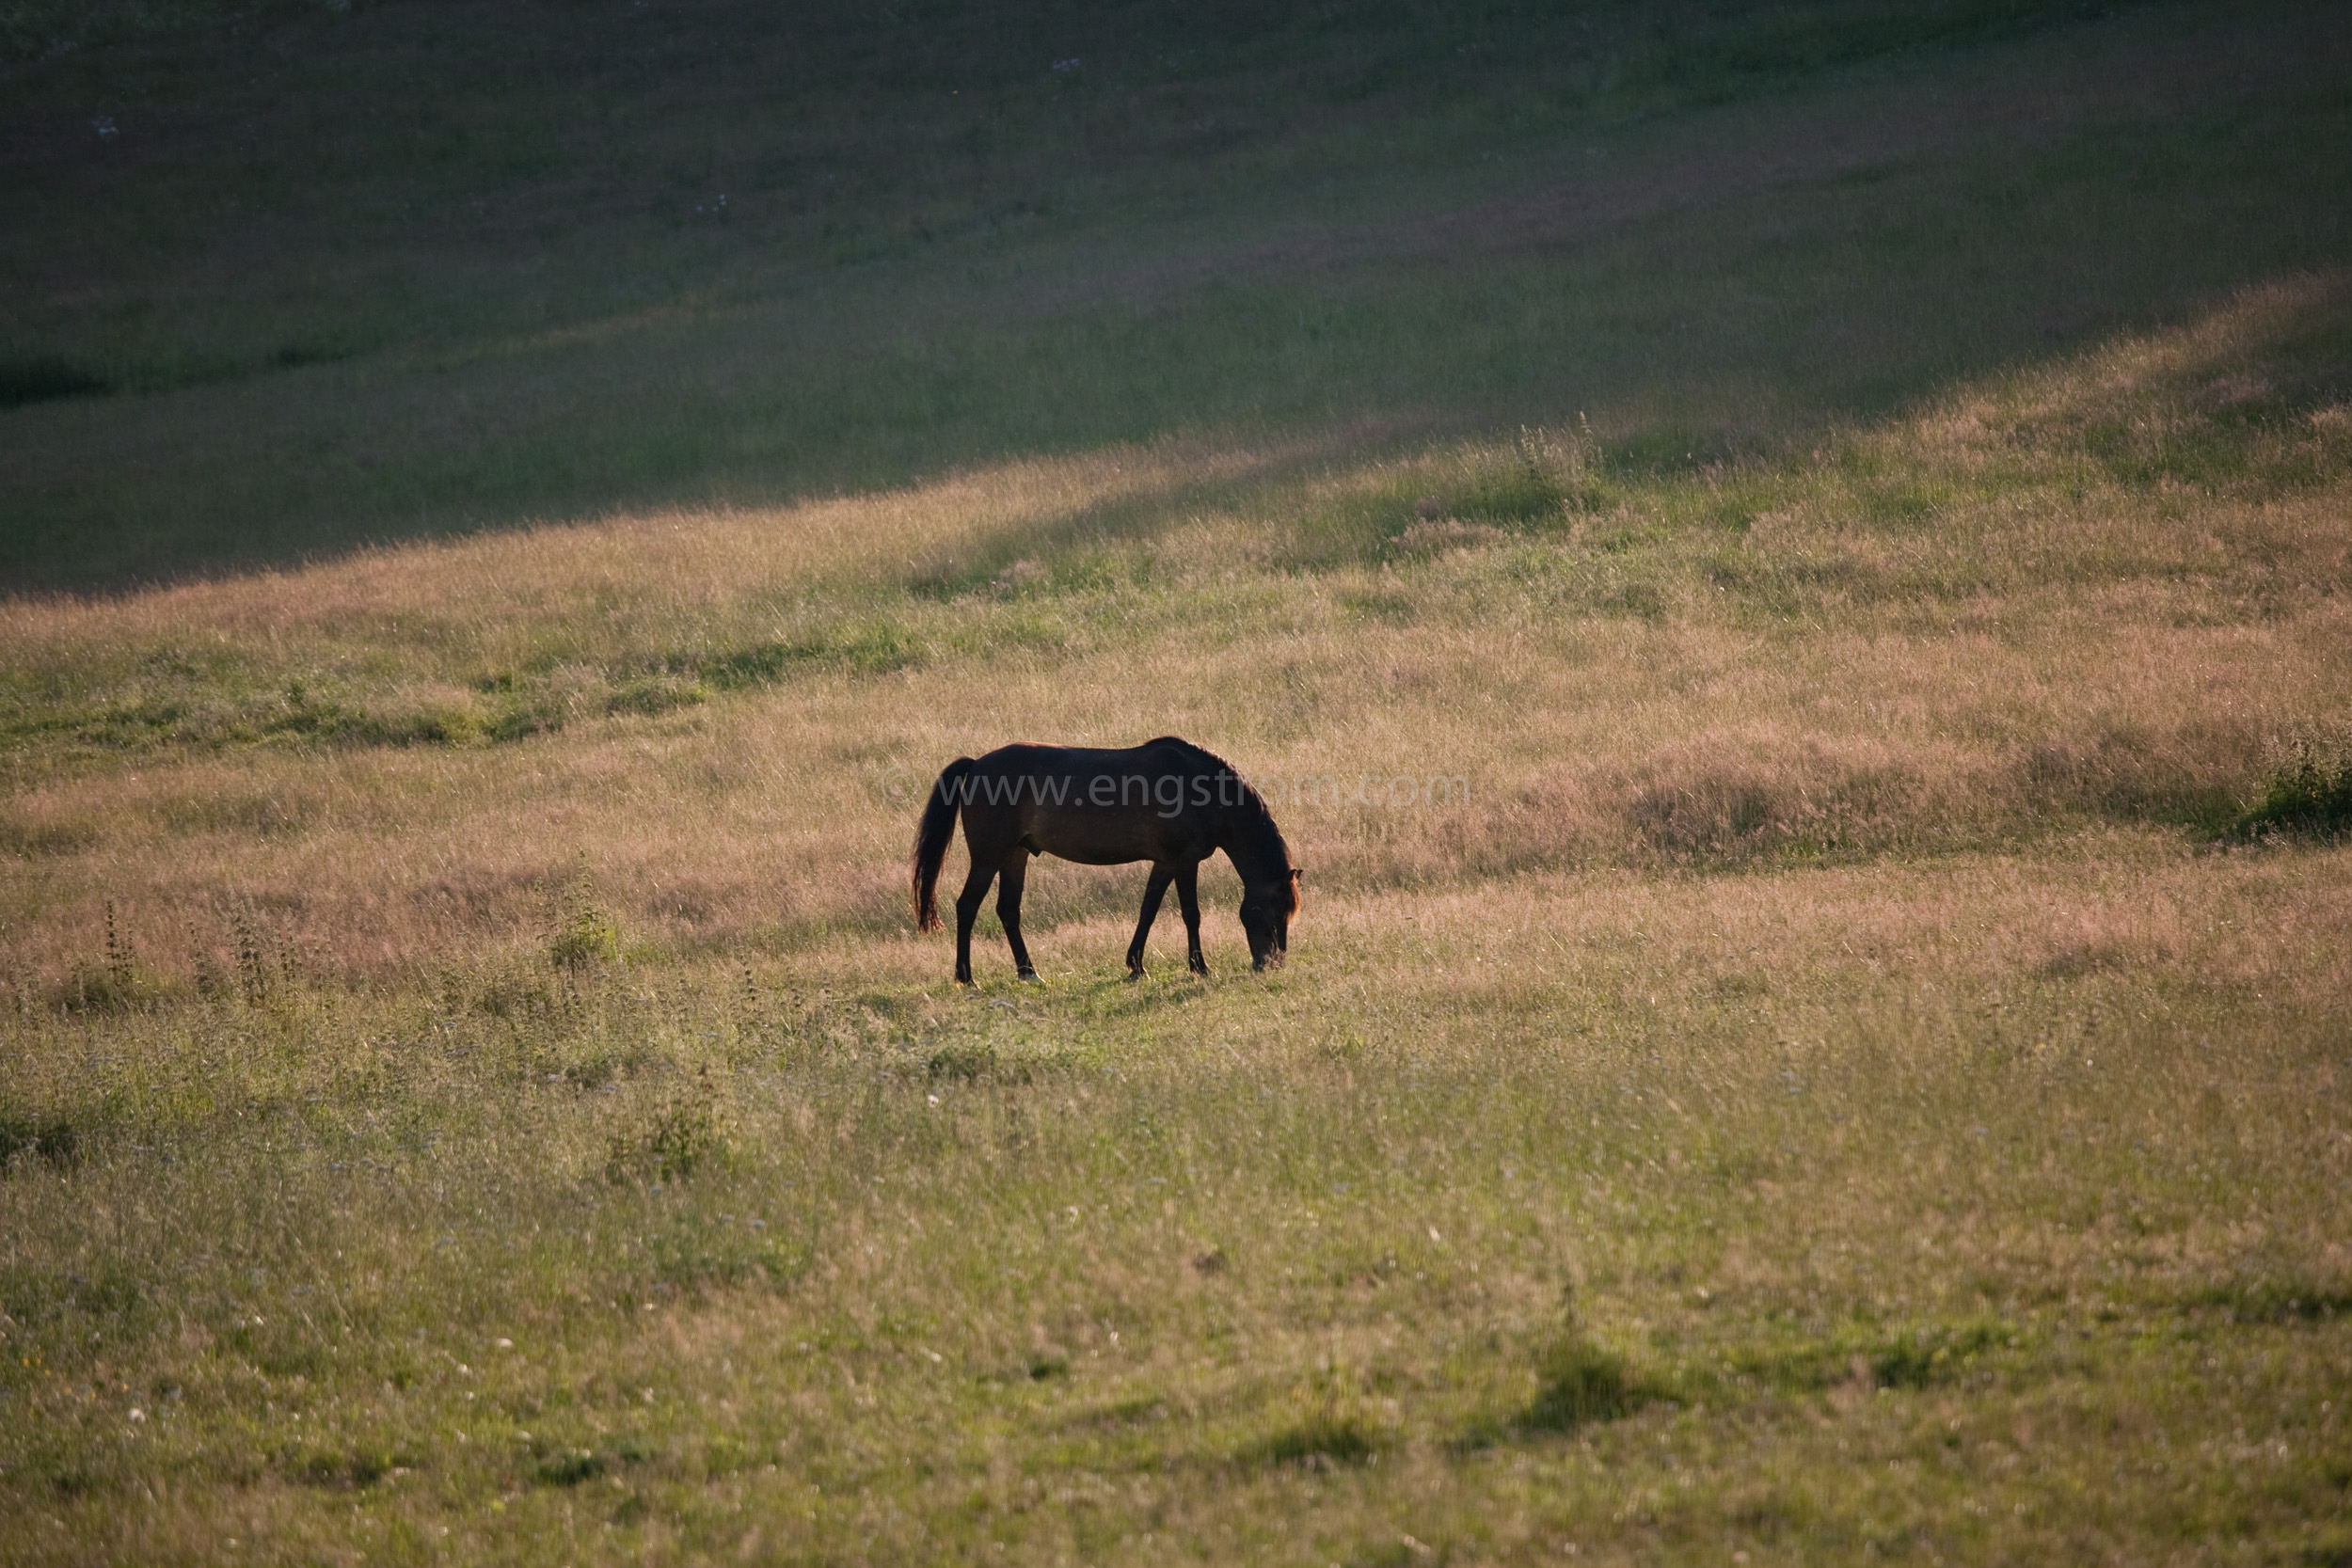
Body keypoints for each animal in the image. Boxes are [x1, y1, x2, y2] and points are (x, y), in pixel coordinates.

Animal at [908, 737, 1308, 982]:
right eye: (1274, 913)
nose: (1270, 963)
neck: (1204, 790)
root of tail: (976, 765)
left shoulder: (1164, 863)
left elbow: (1148, 910)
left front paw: (1136, 965)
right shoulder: (1184, 862)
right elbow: (1190, 914)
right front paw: (1199, 966)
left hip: (1015, 856)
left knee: (1008, 911)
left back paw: (1028, 972)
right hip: (988, 858)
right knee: (967, 907)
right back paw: (966, 977)